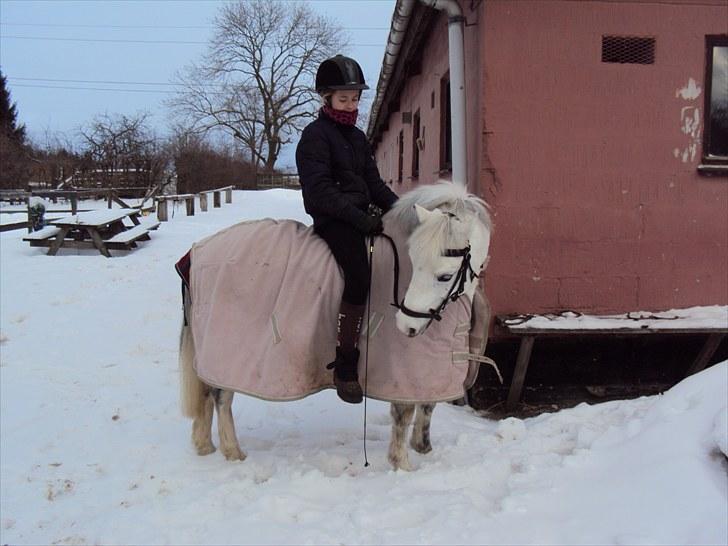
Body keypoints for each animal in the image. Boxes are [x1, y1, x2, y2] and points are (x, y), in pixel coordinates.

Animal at [179, 181, 492, 470]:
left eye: (444, 276)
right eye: (413, 262)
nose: (406, 326)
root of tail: (194, 254)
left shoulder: (433, 370)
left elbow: (427, 406)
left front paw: (423, 449)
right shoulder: (406, 371)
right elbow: (404, 414)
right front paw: (402, 464)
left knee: (206, 392)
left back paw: (205, 445)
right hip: (225, 353)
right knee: (221, 397)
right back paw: (233, 452)